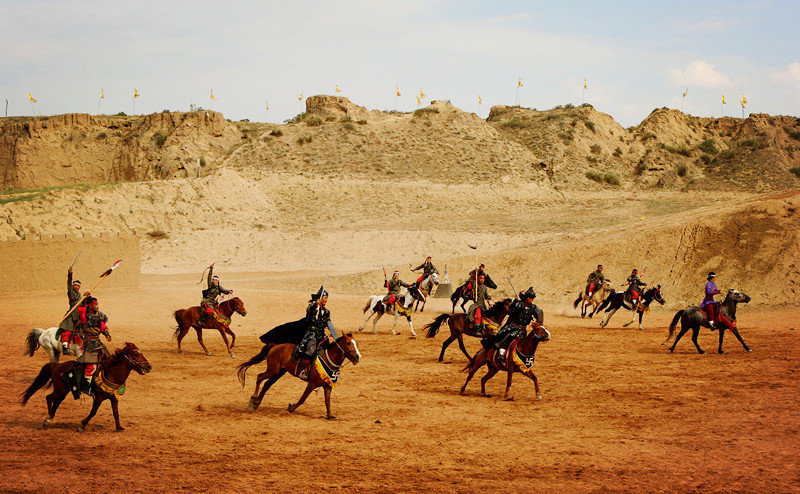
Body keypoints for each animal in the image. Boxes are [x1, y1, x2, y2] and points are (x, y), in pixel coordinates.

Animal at [19, 344, 152, 432]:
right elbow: (93, 412)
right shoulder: (98, 398)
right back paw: (48, 420)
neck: (112, 373)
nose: (149, 366)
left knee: (55, 402)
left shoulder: (114, 399)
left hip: (64, 391)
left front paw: (119, 427)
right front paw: (82, 425)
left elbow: (116, 413)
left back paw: (49, 419)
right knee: (49, 398)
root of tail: (57, 365)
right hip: (60, 390)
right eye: (135, 354)